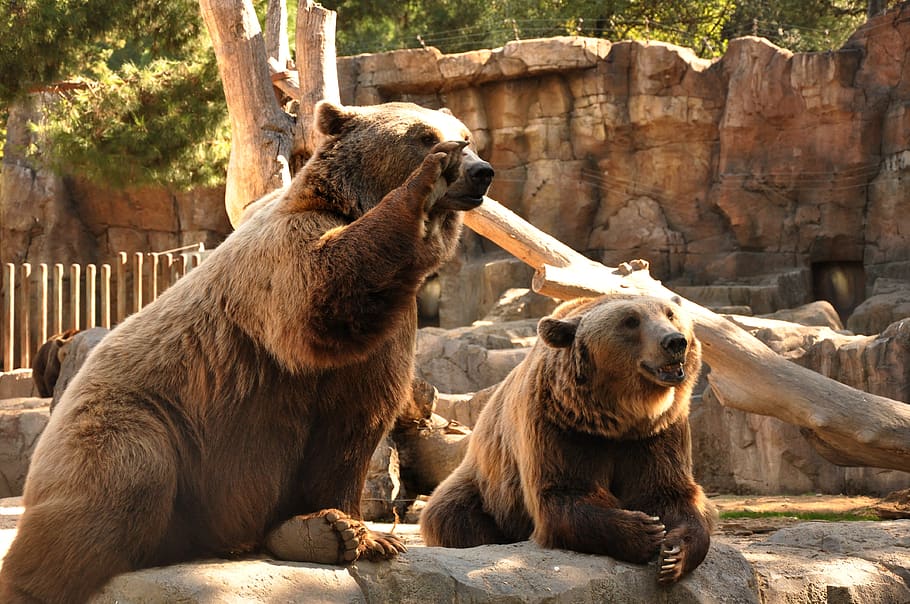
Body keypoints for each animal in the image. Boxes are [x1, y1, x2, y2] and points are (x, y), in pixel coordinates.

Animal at [0, 100, 494, 604]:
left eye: (467, 135)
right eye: (425, 136)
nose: (481, 172)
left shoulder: (384, 337)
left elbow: (350, 431)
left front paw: (359, 533)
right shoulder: (286, 258)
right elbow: (318, 290)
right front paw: (426, 184)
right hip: (142, 420)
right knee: (118, 488)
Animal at [420, 294, 716, 585]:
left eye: (670, 314)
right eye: (630, 320)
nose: (675, 341)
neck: (620, 417)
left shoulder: (657, 432)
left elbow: (668, 492)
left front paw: (674, 555)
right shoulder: (560, 426)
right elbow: (564, 493)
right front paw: (644, 530)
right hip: (485, 487)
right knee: (451, 515)